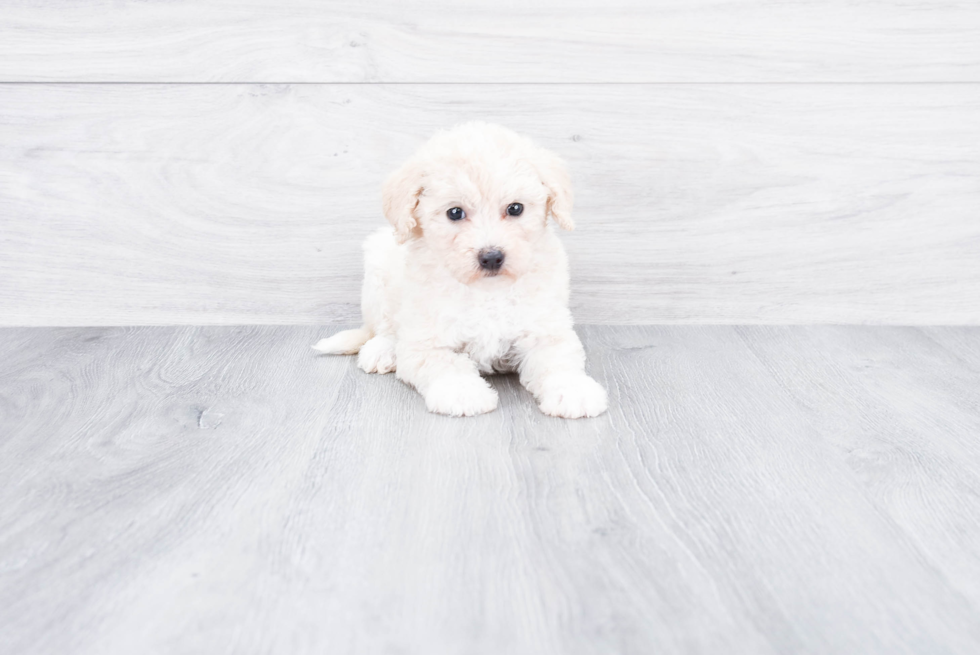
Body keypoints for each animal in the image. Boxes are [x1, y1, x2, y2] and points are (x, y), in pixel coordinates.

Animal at [312, 121, 604, 420]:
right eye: (454, 213)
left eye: (515, 208)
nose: (491, 257)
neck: (487, 291)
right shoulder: (426, 341)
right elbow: (446, 364)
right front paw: (463, 393)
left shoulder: (545, 328)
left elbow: (558, 361)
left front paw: (573, 391)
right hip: (378, 269)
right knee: (384, 327)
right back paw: (383, 350)